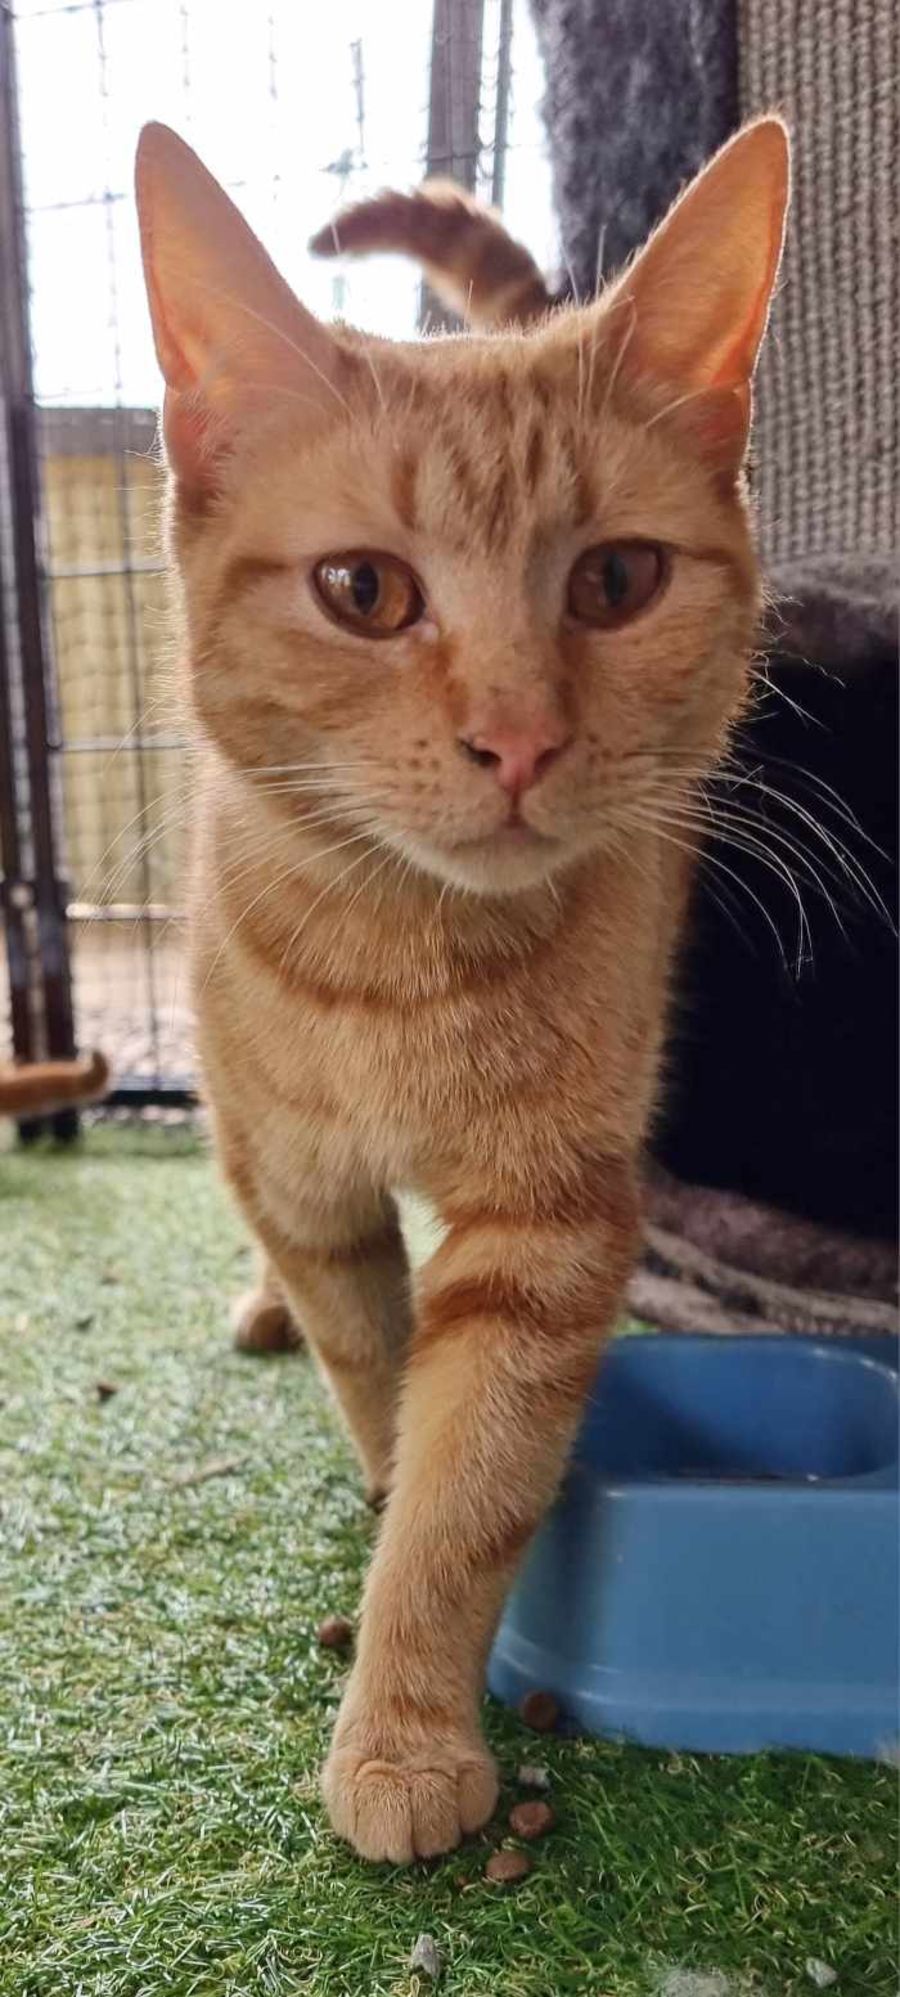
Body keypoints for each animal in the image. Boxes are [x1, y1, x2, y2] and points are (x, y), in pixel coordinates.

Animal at [135, 116, 788, 1863]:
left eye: (618, 580)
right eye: (363, 591)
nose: (518, 740)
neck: (405, 962)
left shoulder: (549, 1223)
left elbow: (471, 1465)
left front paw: (410, 1705)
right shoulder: (298, 1179)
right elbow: (373, 1361)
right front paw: (381, 1523)